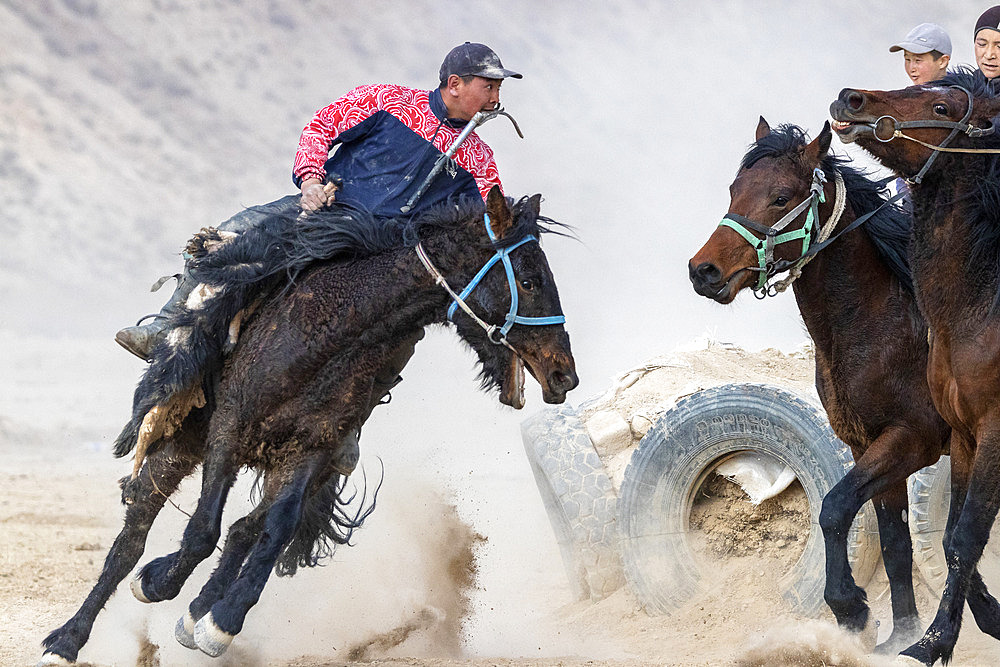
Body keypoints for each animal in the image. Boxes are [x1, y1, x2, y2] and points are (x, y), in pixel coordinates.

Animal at [692, 118, 948, 652]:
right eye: (734, 190)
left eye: (780, 197)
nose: (702, 270)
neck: (882, 323)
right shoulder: (868, 446)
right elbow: (895, 543)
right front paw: (902, 633)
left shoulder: (912, 439)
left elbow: (832, 510)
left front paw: (850, 607)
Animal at [832, 66, 1000, 664]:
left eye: (944, 107)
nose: (851, 98)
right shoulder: (964, 436)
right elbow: (947, 539)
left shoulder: (990, 431)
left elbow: (968, 537)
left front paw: (929, 642)